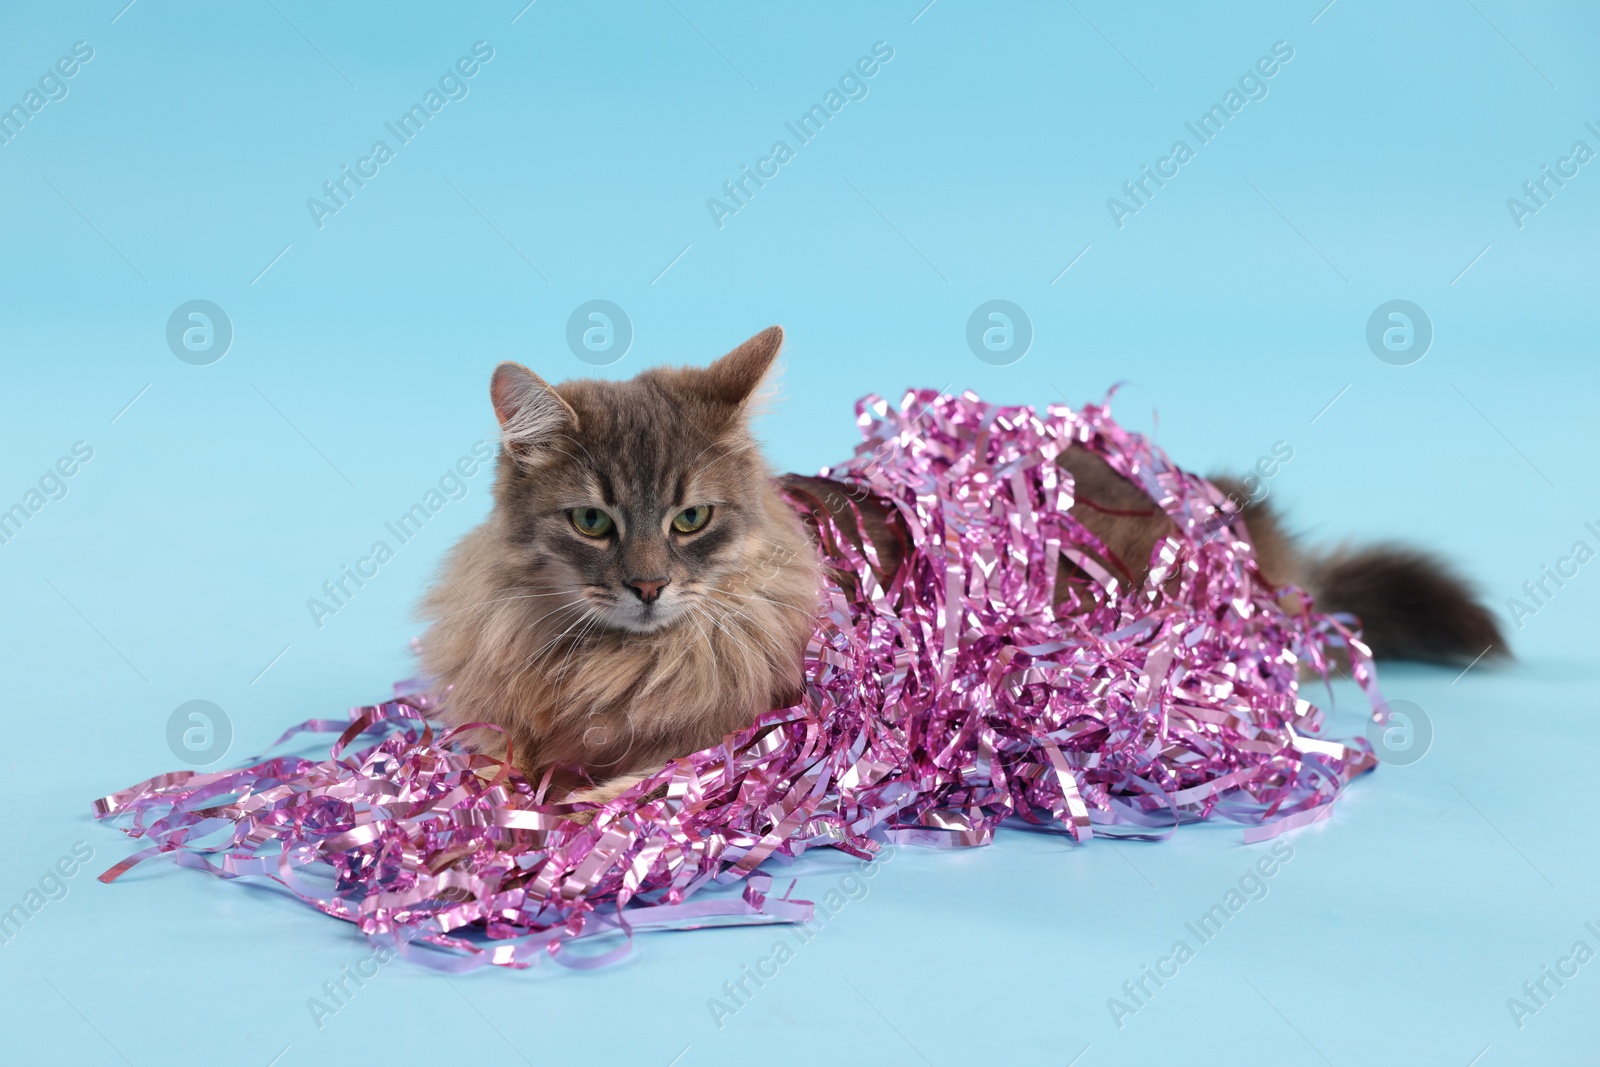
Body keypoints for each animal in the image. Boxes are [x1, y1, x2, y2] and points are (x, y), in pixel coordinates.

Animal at [422, 326, 1497, 809]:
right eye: (593, 522)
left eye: (690, 519)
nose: (648, 585)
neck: (609, 660)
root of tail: (1217, 510)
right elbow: (490, 757)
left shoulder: (742, 741)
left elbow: (610, 793)